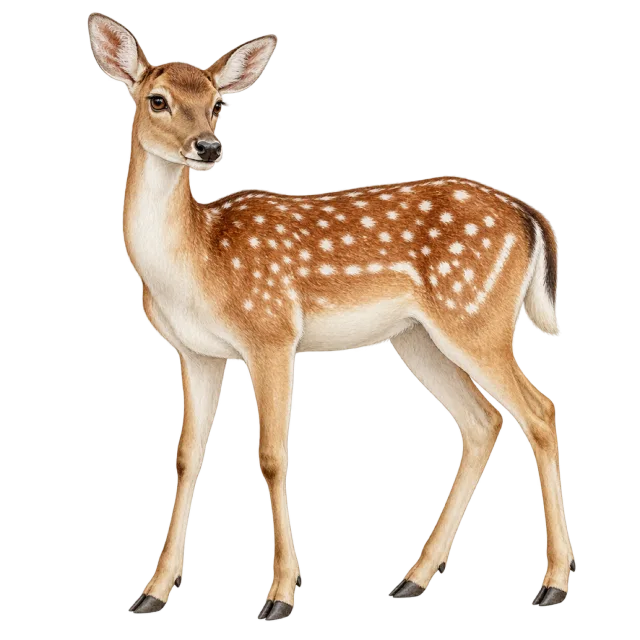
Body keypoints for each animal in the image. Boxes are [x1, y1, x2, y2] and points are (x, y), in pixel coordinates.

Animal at [87, 13, 576, 620]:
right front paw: (152, 594)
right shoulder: (195, 351)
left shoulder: (271, 332)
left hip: (475, 316)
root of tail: (529, 214)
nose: (208, 146)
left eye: (218, 103)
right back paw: (412, 579)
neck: (196, 264)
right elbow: (185, 458)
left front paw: (280, 596)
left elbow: (272, 456)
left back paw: (552, 584)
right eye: (157, 100)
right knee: (483, 421)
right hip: (419, 337)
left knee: (539, 411)